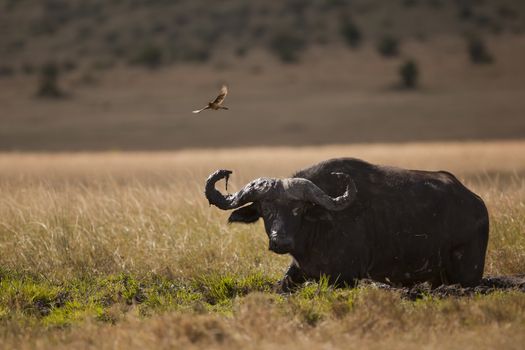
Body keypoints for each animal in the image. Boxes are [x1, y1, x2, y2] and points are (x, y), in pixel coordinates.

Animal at [204, 159, 488, 290]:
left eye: (298, 209)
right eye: (266, 209)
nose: (280, 240)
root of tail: (476, 203)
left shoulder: (345, 277)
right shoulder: (296, 272)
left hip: (466, 275)